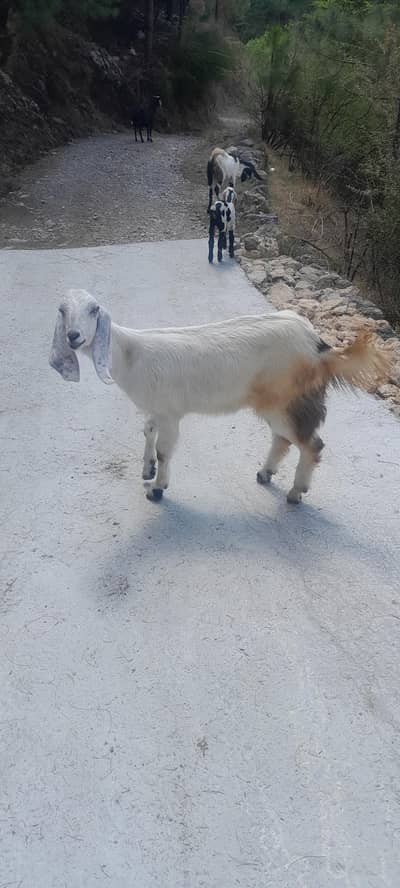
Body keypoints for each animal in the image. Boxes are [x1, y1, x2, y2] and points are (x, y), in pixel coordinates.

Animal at [49, 290, 391, 505]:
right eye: (62, 310)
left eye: (94, 309)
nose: (73, 336)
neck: (131, 354)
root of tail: (320, 347)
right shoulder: (156, 408)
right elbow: (147, 431)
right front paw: (147, 469)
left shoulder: (170, 413)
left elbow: (164, 451)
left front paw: (157, 489)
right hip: (277, 402)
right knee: (283, 439)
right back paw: (265, 473)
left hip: (289, 400)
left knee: (312, 444)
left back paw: (296, 492)